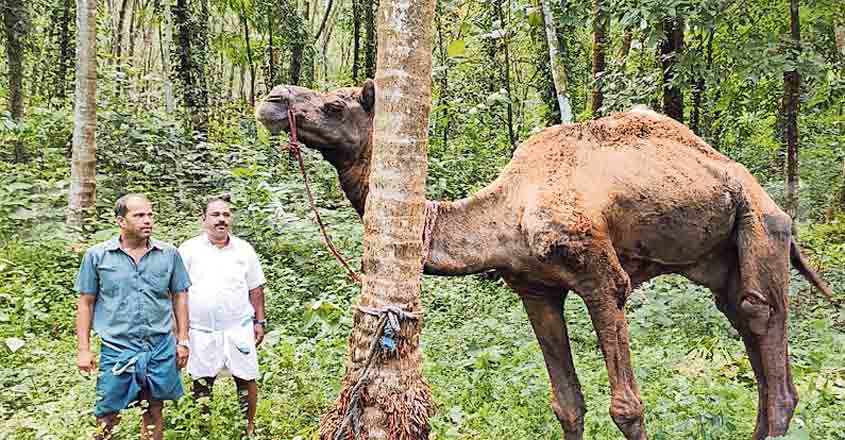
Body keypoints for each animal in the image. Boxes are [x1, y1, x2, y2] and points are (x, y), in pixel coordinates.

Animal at [255, 79, 834, 440]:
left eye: (335, 105)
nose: (272, 99)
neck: (507, 211)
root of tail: (768, 198)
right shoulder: (534, 288)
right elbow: (567, 403)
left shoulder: (602, 278)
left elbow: (627, 407)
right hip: (721, 259)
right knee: (748, 331)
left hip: (762, 229)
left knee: (766, 332)